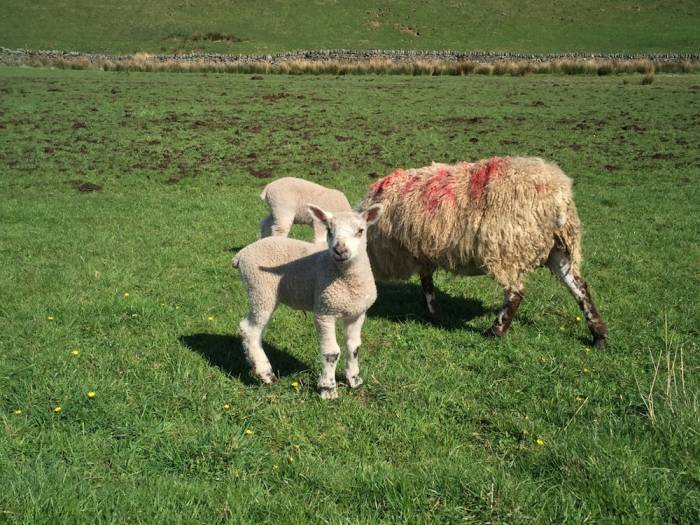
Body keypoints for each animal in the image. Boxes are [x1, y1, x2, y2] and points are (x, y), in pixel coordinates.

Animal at [234, 203, 382, 400]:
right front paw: (328, 389)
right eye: (329, 230)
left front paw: (354, 380)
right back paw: (266, 374)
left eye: (360, 230)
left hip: (263, 294)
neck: (346, 279)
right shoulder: (324, 311)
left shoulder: (357, 313)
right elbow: (331, 353)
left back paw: (256, 365)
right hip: (260, 289)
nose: (339, 250)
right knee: (250, 329)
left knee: (252, 329)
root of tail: (241, 254)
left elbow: (354, 347)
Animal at [364, 156, 608, 348]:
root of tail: (559, 198)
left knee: (516, 292)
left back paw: (495, 331)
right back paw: (599, 336)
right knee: (579, 288)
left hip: (507, 247)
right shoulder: (423, 252)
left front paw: (433, 313)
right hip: (557, 249)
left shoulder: (416, 252)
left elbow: (426, 285)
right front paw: (434, 314)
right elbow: (427, 283)